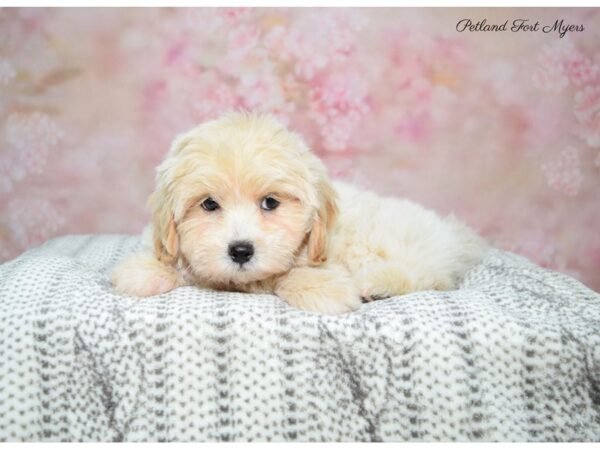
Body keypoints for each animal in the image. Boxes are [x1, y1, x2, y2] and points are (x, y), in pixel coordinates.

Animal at [111, 112, 488, 314]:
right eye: (208, 204)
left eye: (270, 203)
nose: (241, 251)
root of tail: (452, 234)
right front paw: (145, 270)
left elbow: (289, 276)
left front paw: (320, 290)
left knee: (429, 277)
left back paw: (379, 286)